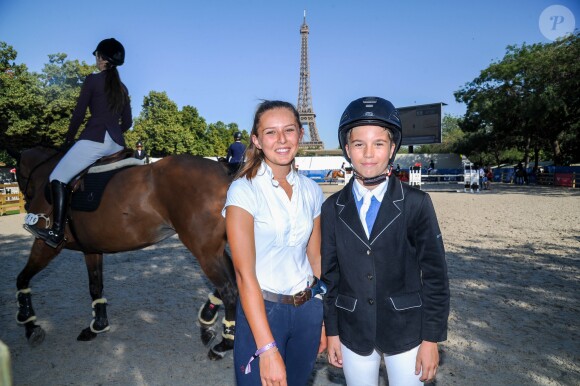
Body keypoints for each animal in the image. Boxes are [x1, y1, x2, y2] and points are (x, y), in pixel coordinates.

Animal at [15, 146, 238, 360]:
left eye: (18, 175)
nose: (26, 205)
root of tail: (224, 173)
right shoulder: (91, 249)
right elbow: (95, 286)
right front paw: (97, 326)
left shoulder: (46, 245)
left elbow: (22, 279)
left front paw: (29, 324)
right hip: (214, 250)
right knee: (233, 282)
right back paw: (207, 321)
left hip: (204, 252)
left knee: (229, 291)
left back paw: (223, 344)